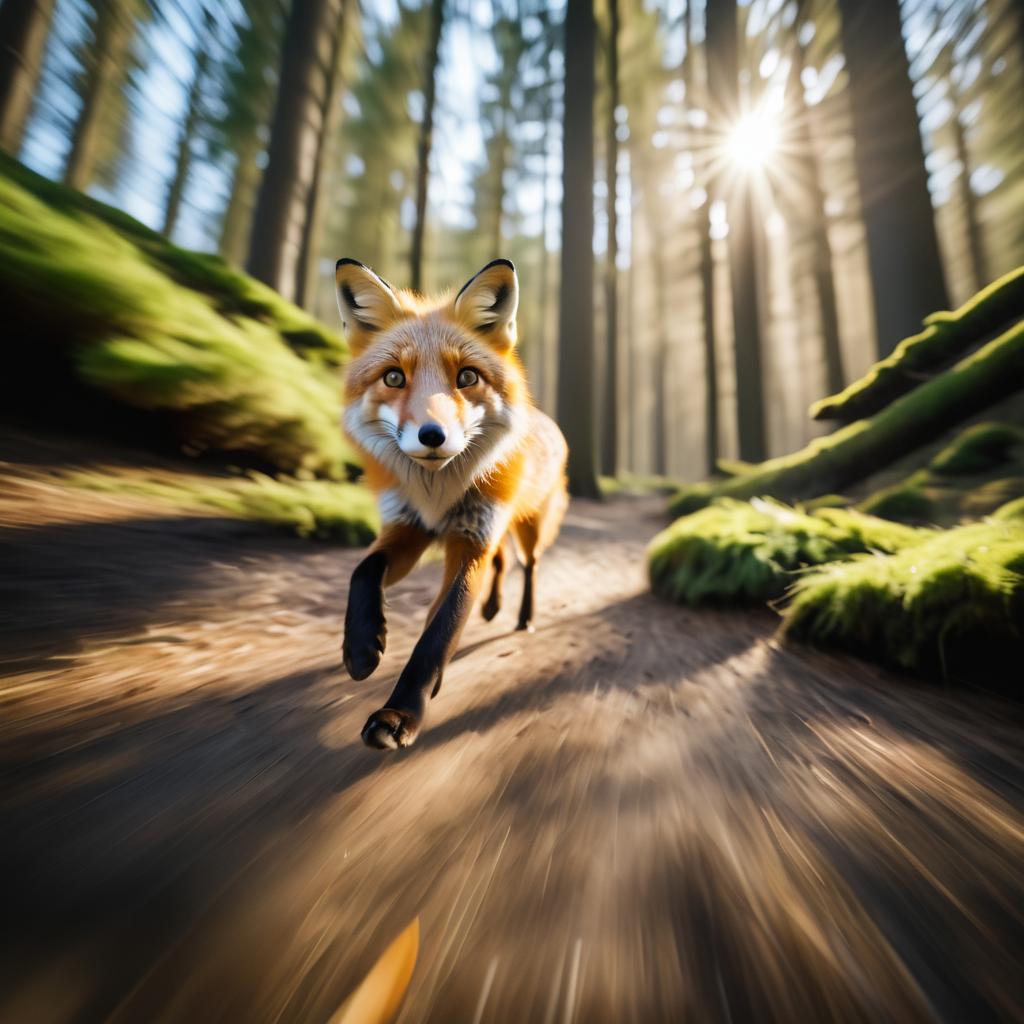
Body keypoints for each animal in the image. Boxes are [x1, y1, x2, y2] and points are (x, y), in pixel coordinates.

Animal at [339, 258, 573, 753]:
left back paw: (523, 617)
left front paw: (400, 714)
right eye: (393, 377)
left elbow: (437, 633)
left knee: (529, 565)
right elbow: (363, 570)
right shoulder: (409, 528)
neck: (438, 494)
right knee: (503, 562)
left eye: (467, 377)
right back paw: (492, 607)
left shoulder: (470, 543)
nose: (432, 435)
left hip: (526, 526)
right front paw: (361, 647)